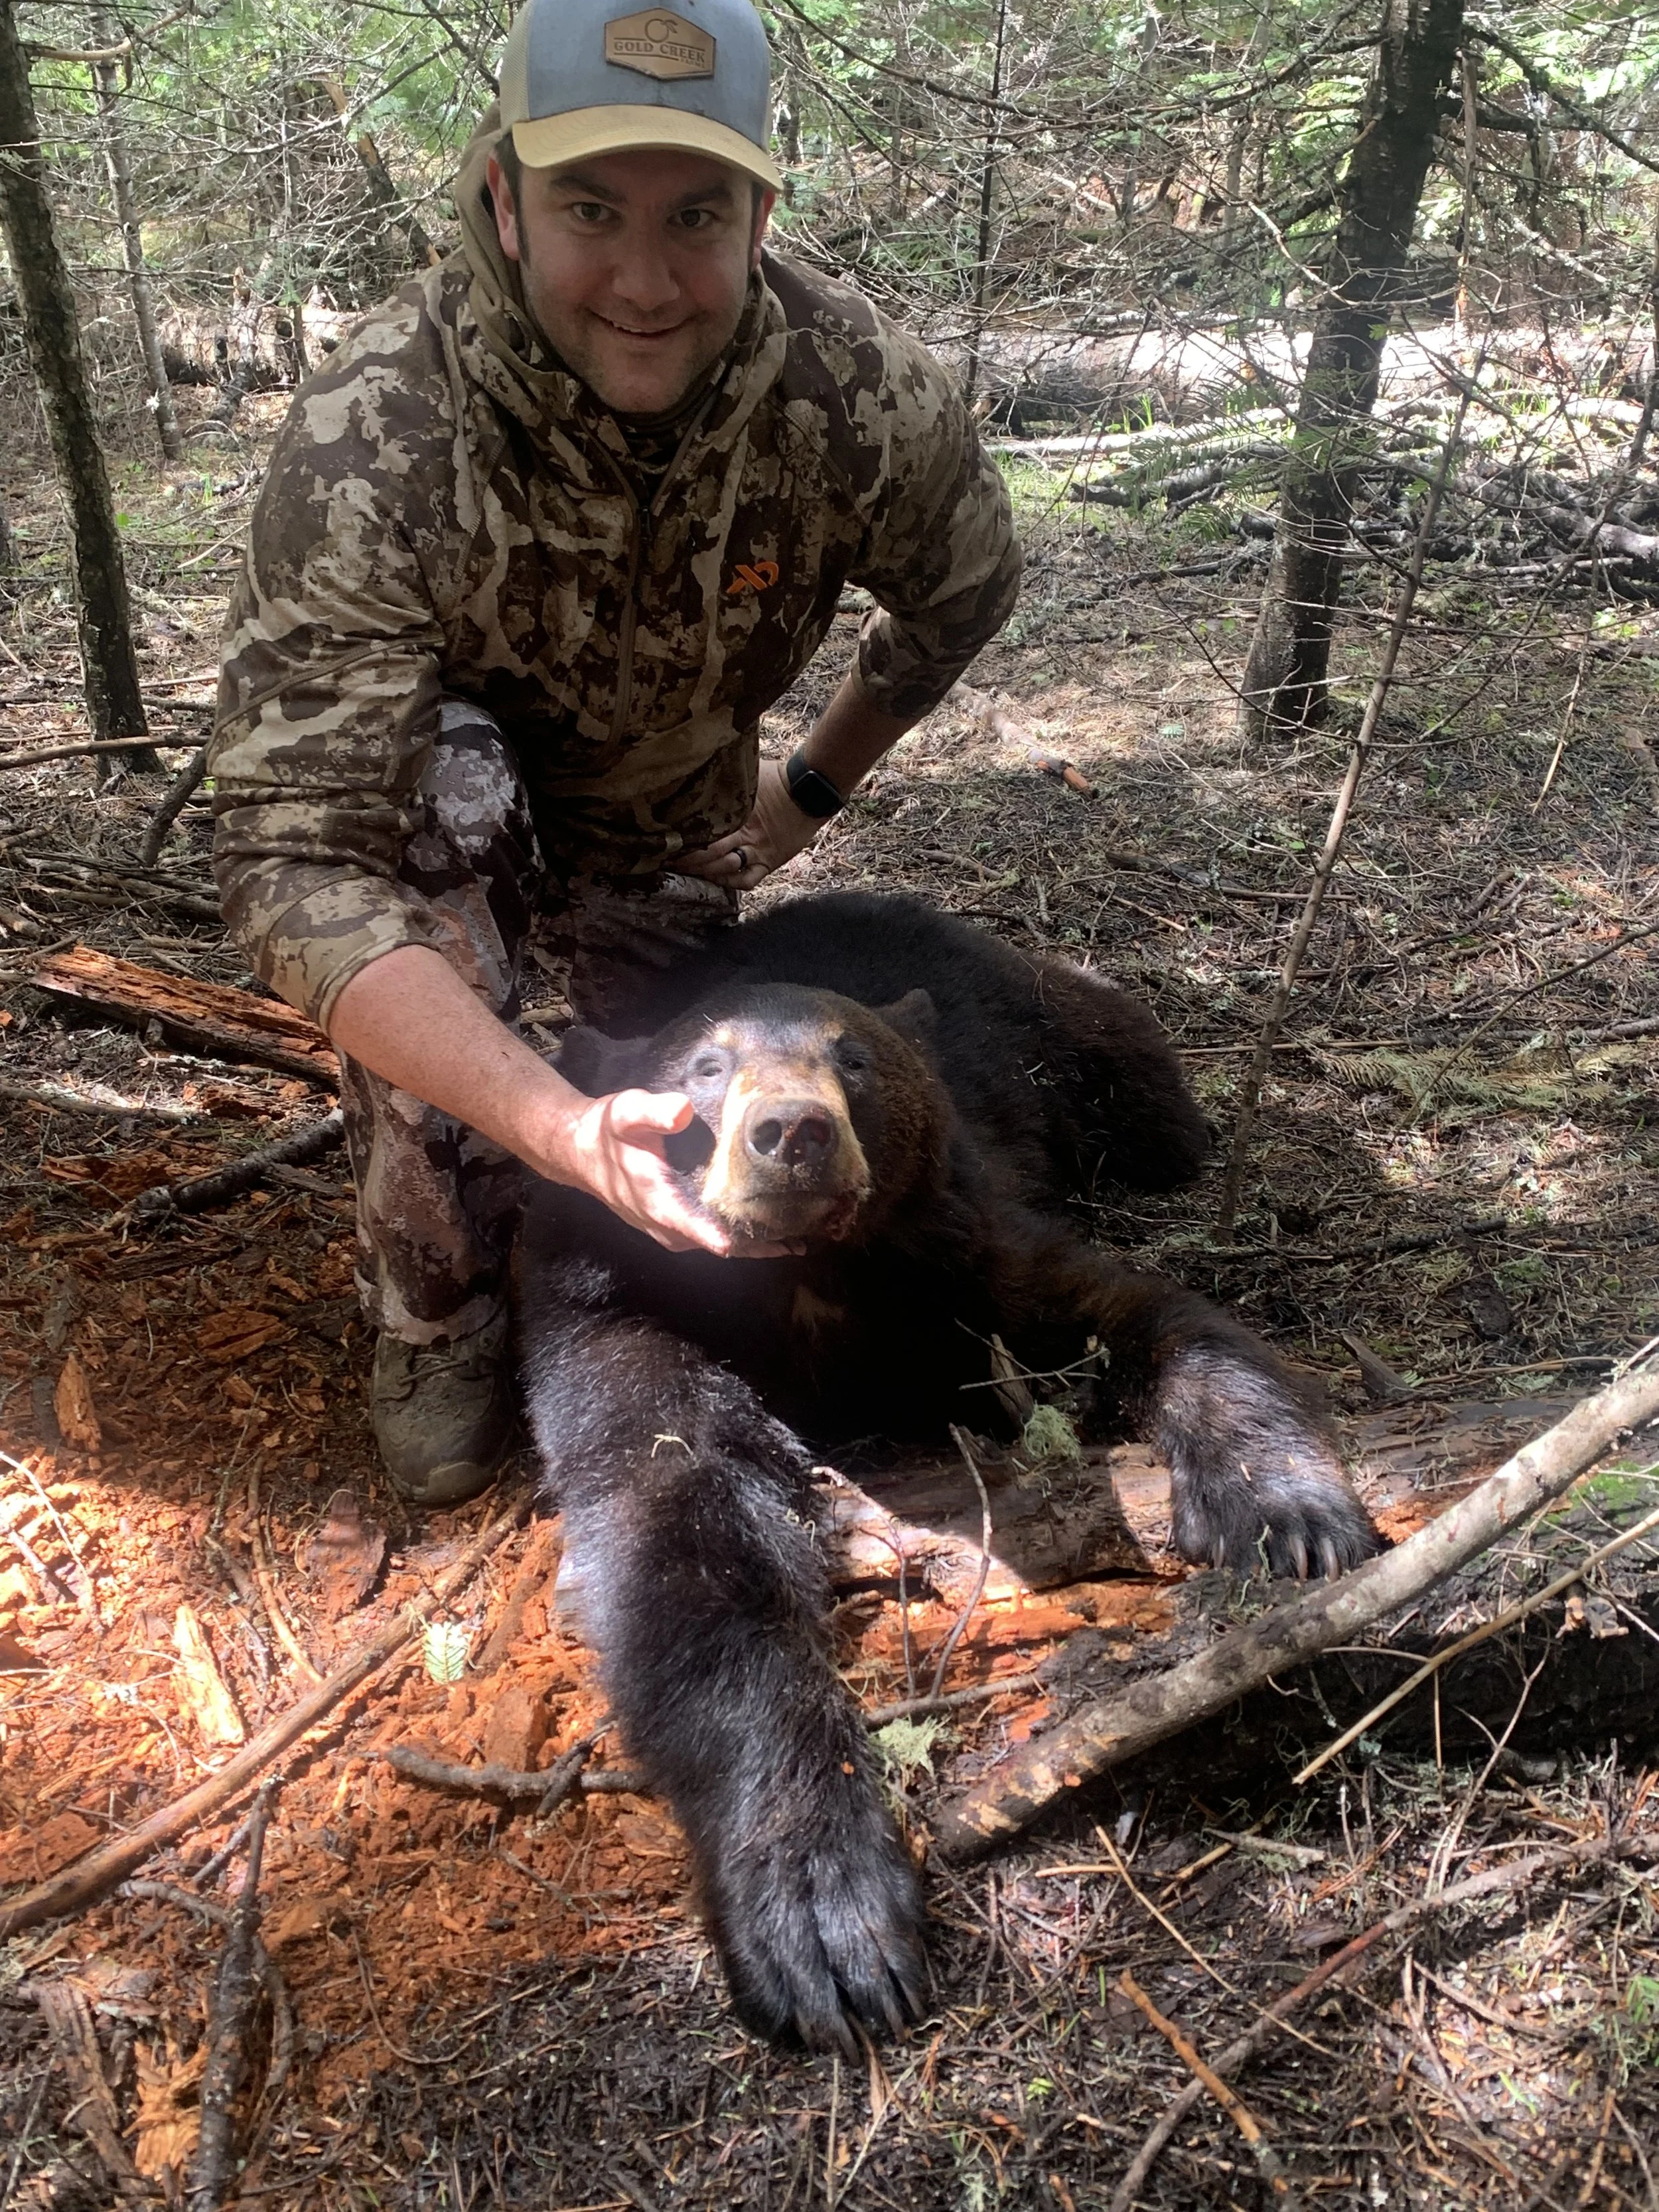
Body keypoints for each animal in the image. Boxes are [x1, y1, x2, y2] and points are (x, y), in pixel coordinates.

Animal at [518, 891, 1380, 2054]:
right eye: (705, 1063)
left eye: (852, 1059)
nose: (794, 1132)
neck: (810, 1282)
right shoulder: (615, 1313)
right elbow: (682, 1543)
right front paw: (826, 1920)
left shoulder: (967, 1253)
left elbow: (1144, 1314)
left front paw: (1288, 1510)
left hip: (1058, 1033)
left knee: (1143, 1087)